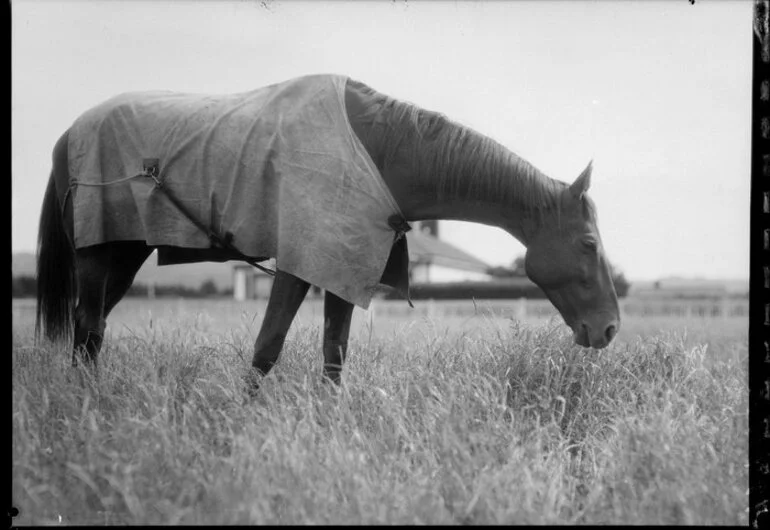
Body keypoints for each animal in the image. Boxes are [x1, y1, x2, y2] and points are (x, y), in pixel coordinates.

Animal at [36, 74, 616, 388]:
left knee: (93, 331)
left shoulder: (345, 265)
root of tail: (68, 135)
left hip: (124, 256)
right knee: (87, 327)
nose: (609, 329)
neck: (379, 152)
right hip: (98, 256)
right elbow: (267, 347)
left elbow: (334, 355)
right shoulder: (302, 264)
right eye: (589, 245)